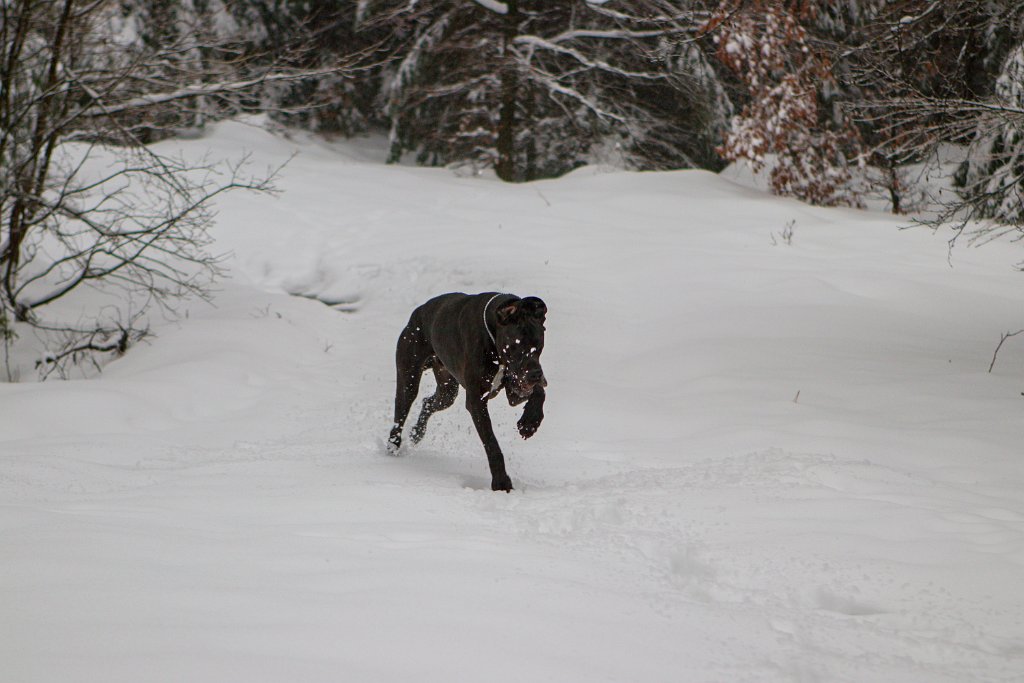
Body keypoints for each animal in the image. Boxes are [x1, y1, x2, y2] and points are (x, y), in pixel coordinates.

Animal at [385, 294, 548, 491]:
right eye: (515, 345)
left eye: (539, 344)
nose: (535, 374)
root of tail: (419, 311)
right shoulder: (477, 401)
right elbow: (492, 444)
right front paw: (501, 482)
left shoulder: (516, 389)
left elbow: (539, 392)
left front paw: (530, 422)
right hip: (409, 379)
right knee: (400, 414)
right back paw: (393, 446)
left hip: (447, 391)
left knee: (427, 402)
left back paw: (417, 432)